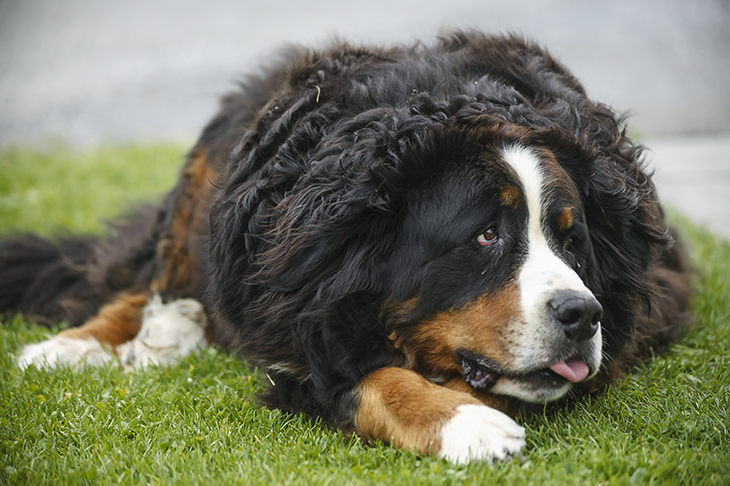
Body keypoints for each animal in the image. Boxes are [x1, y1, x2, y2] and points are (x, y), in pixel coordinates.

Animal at [0, 32, 688, 466]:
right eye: (485, 236)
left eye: (573, 241)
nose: (582, 315)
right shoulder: (288, 312)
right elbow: (362, 380)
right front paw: (466, 423)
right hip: (207, 179)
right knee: (150, 278)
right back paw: (90, 343)